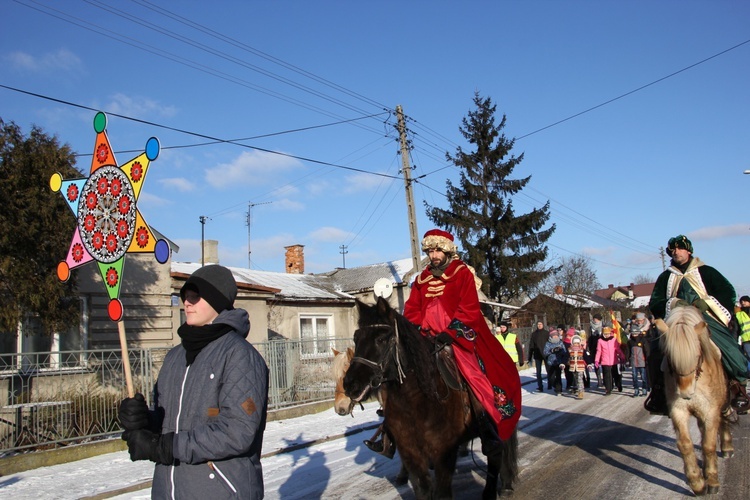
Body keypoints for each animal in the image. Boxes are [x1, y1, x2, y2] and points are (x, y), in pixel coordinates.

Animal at [346, 298, 516, 498]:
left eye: (380, 339)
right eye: (356, 339)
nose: (350, 384)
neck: (415, 400)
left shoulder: (444, 452)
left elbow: (442, 493)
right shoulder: (410, 453)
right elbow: (423, 490)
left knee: (497, 453)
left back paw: (500, 488)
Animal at [656, 304, 736, 496]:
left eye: (697, 353)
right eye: (669, 356)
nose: (685, 393)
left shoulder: (711, 411)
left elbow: (709, 445)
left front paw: (712, 481)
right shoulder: (678, 411)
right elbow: (685, 444)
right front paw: (697, 482)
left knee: (724, 419)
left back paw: (727, 447)